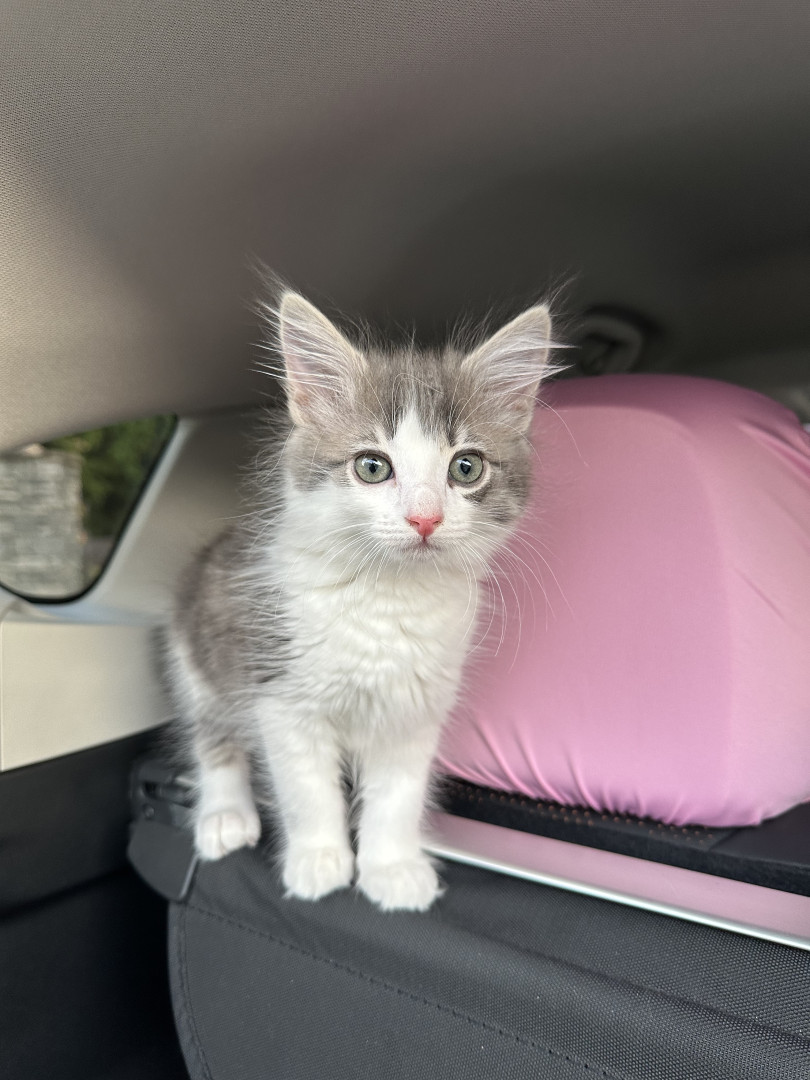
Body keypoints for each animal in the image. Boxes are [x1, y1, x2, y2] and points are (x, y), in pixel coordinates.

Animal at [165, 289, 554, 911]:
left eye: (466, 467)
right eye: (372, 466)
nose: (425, 518)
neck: (387, 598)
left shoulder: (415, 706)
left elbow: (398, 794)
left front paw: (391, 868)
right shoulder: (281, 691)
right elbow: (307, 789)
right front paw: (318, 861)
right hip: (197, 645)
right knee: (212, 732)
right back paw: (224, 814)